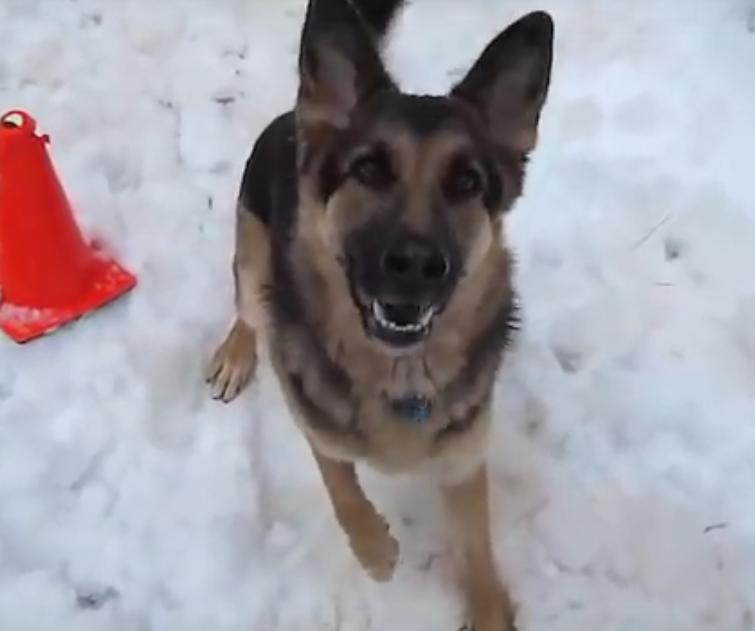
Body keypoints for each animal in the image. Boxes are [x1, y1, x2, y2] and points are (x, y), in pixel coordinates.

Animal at [210, 1, 552, 628]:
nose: (416, 265)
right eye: (367, 170)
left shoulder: (464, 462)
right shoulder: (318, 429)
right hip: (252, 267)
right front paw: (376, 552)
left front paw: (489, 608)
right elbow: (344, 495)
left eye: (467, 182)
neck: (400, 376)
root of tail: (293, 117)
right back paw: (235, 355)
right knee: (248, 308)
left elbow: (478, 546)